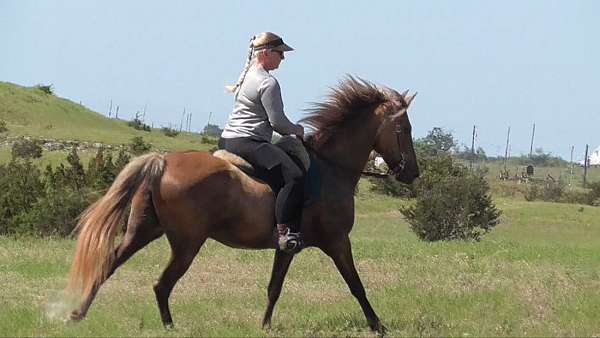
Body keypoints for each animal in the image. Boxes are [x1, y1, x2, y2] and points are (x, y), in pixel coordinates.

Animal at [67, 77, 418, 336]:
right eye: (405, 129)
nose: (412, 173)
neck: (332, 167)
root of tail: (162, 162)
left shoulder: (288, 246)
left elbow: (274, 287)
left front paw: (265, 326)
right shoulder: (337, 241)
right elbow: (356, 284)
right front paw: (378, 325)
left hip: (143, 230)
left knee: (108, 265)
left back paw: (77, 314)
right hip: (186, 243)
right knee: (161, 284)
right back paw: (167, 326)